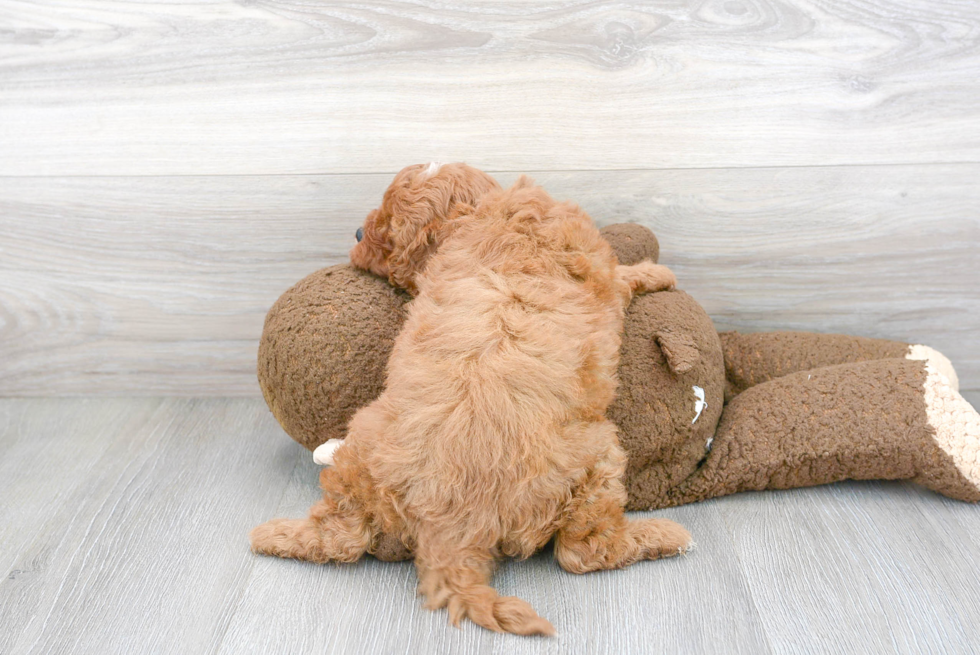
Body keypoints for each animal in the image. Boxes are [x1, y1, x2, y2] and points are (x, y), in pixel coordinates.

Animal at [249, 163, 692, 636]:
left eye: (388, 226)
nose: (356, 232)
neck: (479, 213)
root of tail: (451, 529)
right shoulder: (600, 270)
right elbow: (624, 277)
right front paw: (657, 272)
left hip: (364, 444)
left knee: (339, 537)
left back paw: (276, 531)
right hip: (598, 455)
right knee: (583, 552)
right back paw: (663, 536)